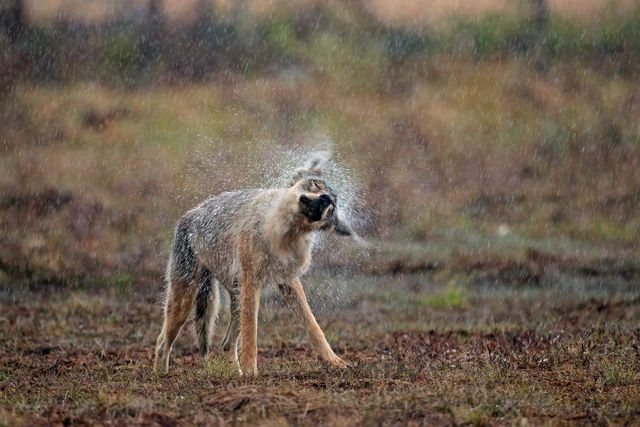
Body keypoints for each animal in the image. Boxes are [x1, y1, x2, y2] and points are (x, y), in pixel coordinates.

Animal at [154, 154, 352, 376]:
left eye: (332, 206)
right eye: (316, 185)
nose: (326, 198)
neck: (282, 235)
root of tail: (188, 215)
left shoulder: (288, 282)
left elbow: (313, 325)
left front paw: (333, 361)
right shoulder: (252, 283)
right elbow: (251, 336)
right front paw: (251, 373)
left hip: (233, 297)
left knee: (226, 343)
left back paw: (234, 373)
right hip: (185, 303)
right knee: (162, 342)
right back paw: (161, 375)